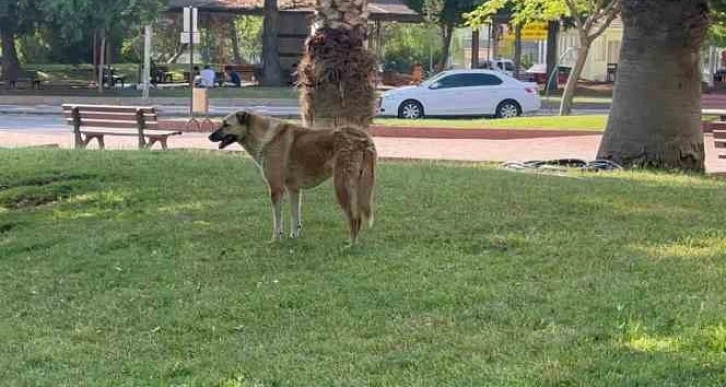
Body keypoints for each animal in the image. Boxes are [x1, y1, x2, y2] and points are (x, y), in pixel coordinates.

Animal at [209, 112, 376, 244]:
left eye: (226, 124)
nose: (210, 137)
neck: (264, 136)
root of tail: (363, 137)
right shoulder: (294, 189)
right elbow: (295, 218)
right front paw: (293, 238)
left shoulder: (276, 189)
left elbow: (277, 220)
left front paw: (275, 239)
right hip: (358, 186)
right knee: (358, 216)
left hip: (342, 186)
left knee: (355, 218)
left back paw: (350, 245)